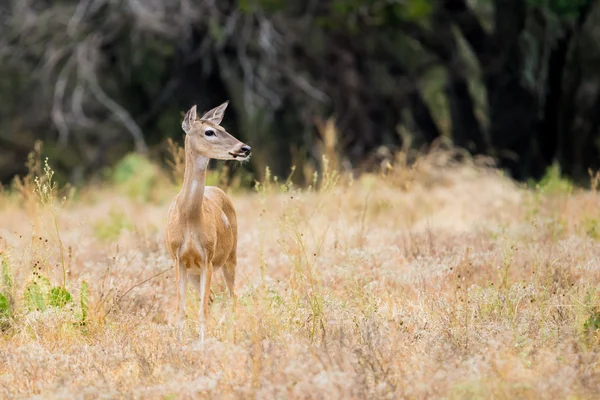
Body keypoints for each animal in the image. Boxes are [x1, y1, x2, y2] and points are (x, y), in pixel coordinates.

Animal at [164, 101, 251, 342]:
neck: (189, 219)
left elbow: (201, 309)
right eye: (209, 132)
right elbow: (181, 308)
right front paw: (178, 344)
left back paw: (233, 335)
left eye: (223, 128)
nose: (245, 148)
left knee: (232, 297)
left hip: (231, 256)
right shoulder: (178, 259)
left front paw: (202, 344)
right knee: (213, 298)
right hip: (195, 272)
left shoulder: (207, 258)